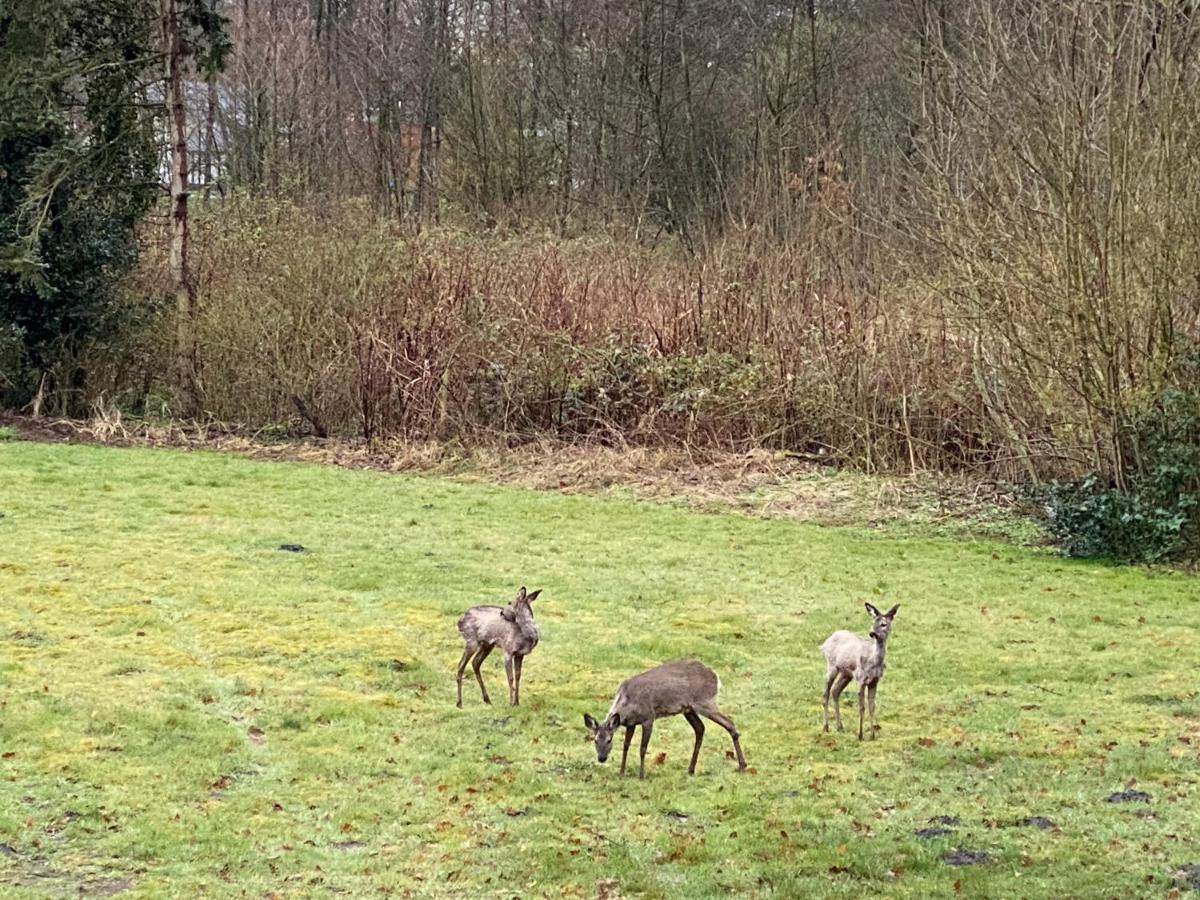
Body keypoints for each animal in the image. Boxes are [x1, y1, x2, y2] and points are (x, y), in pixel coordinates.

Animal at [583, 662, 744, 782]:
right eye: (595, 740)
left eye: (609, 740)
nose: (601, 758)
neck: (628, 703)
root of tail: (715, 676)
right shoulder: (631, 723)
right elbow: (626, 746)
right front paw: (621, 773)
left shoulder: (648, 718)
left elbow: (642, 749)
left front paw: (641, 776)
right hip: (689, 708)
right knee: (700, 728)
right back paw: (691, 769)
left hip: (704, 701)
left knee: (729, 723)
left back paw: (742, 765)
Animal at [825, 607, 902, 739]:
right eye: (873, 621)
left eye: (884, 624)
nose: (872, 633)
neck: (873, 660)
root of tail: (825, 642)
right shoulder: (861, 678)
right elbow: (862, 707)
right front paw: (860, 735)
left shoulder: (875, 680)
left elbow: (872, 706)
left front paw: (872, 735)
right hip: (832, 666)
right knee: (826, 693)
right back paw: (826, 727)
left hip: (846, 674)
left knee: (835, 691)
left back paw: (840, 726)